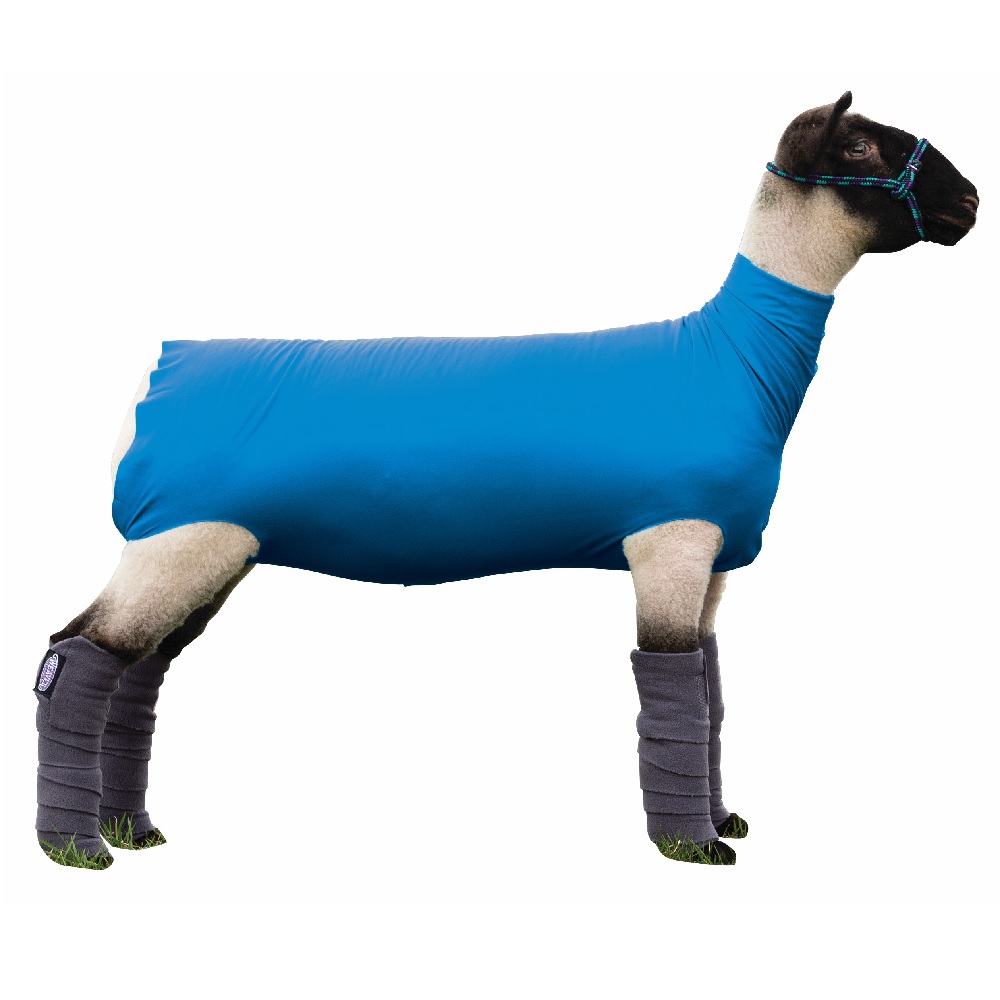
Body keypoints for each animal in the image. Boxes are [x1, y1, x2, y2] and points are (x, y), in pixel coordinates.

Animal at [33, 91, 979, 868]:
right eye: (858, 144)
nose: (970, 201)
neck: (733, 357)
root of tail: (155, 377)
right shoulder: (670, 544)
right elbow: (670, 692)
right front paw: (691, 844)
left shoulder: (712, 562)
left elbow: (710, 693)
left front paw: (721, 820)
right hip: (177, 542)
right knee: (76, 657)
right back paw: (76, 849)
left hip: (212, 551)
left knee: (139, 673)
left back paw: (131, 830)